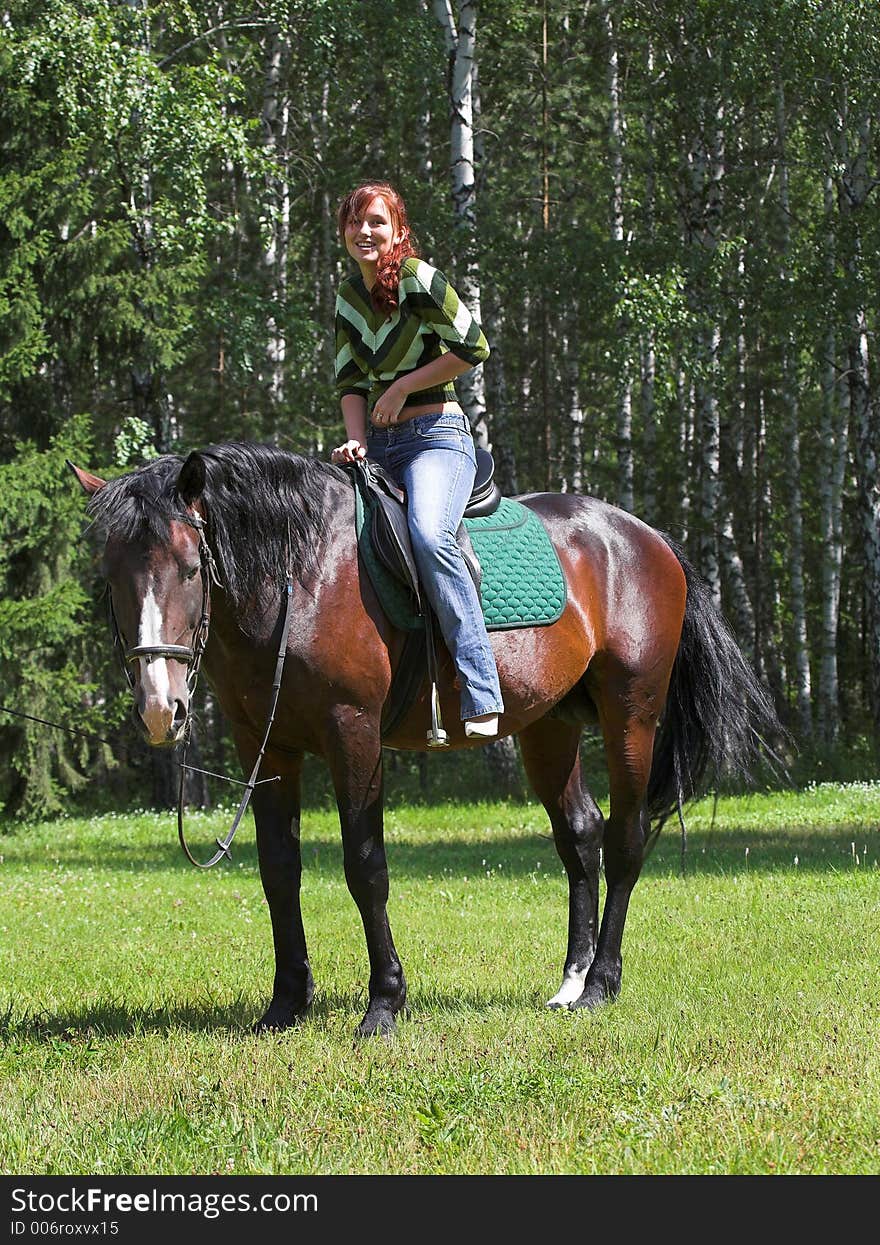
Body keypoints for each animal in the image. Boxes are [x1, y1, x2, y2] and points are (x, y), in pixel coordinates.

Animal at [72, 443, 781, 1035]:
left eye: (192, 568)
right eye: (110, 575)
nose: (159, 707)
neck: (302, 578)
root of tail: (647, 536)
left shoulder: (353, 734)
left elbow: (366, 868)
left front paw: (384, 1003)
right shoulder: (265, 746)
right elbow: (279, 869)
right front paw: (286, 1004)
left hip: (631, 717)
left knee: (626, 840)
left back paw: (603, 983)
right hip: (549, 728)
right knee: (580, 836)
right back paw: (571, 983)